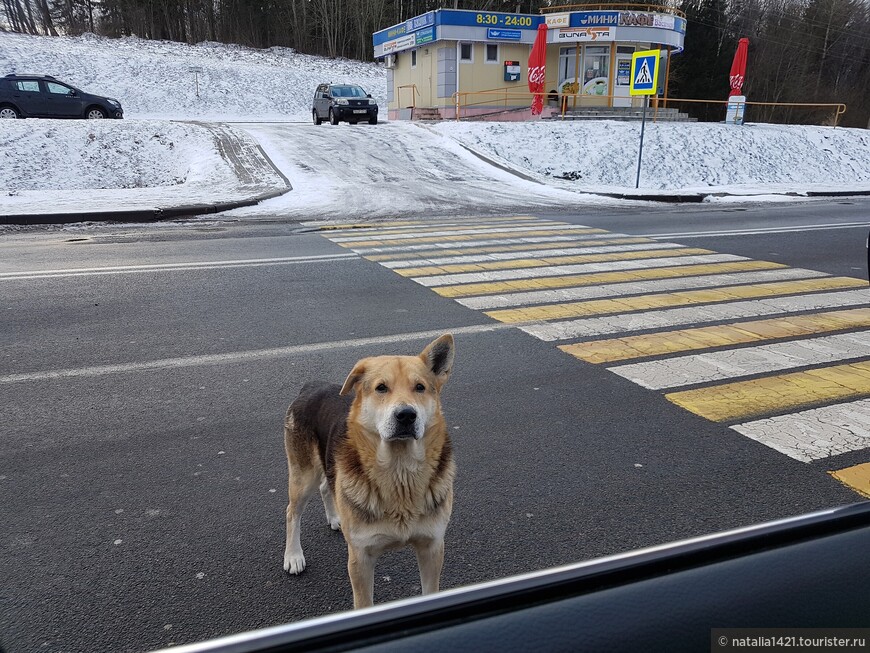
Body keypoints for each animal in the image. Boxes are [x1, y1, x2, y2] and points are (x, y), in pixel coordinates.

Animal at [282, 334, 460, 608]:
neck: (400, 471)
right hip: (303, 476)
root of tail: (312, 385)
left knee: (326, 487)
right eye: (381, 388)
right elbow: (363, 604)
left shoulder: (432, 548)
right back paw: (293, 556)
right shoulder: (360, 559)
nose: (406, 415)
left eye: (420, 387)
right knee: (292, 512)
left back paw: (335, 517)